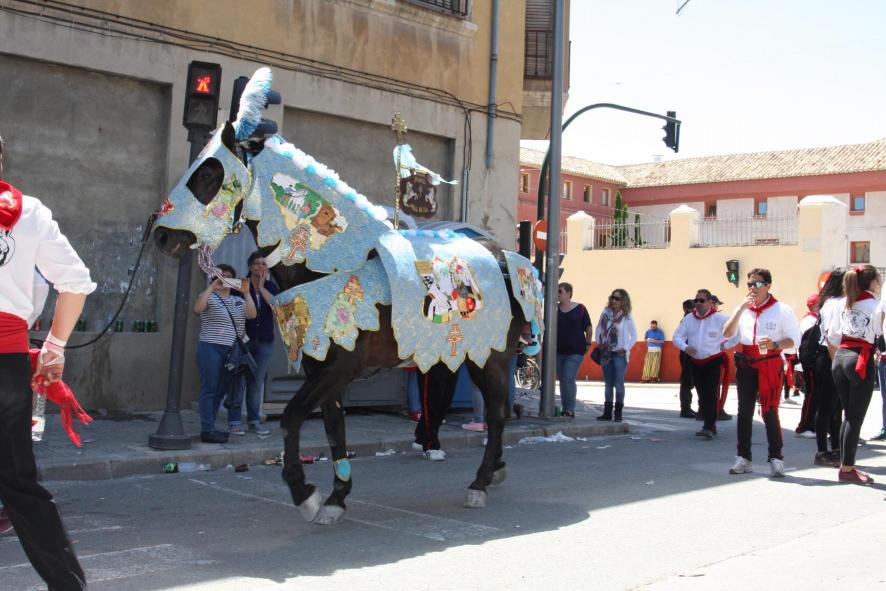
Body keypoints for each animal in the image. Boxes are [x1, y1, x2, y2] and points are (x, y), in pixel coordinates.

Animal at [152, 68, 539, 525]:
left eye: (209, 174)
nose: (160, 234)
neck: (332, 263)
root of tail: (506, 257)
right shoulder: (322, 367)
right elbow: (333, 430)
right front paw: (335, 497)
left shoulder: (341, 367)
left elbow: (292, 418)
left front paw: (304, 493)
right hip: (458, 355)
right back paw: (493, 469)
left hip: (491, 357)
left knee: (496, 412)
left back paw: (480, 481)